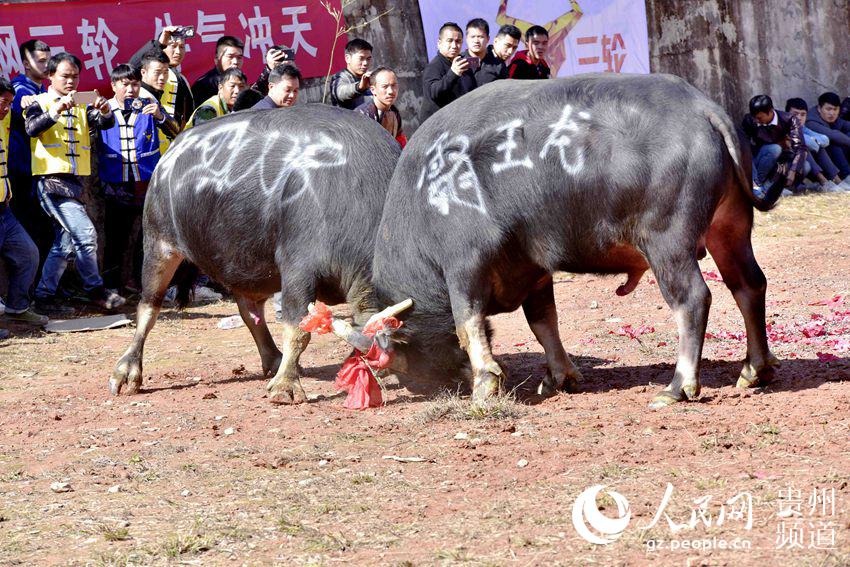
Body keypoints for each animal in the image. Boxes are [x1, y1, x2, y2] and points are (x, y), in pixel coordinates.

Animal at [110, 104, 400, 402]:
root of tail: (169, 156)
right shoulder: (297, 270)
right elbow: (298, 330)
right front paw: (286, 386)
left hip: (247, 265)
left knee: (250, 311)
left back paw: (273, 359)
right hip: (159, 245)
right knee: (148, 308)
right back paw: (127, 371)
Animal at [372, 74, 776, 408]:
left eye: (401, 355)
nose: (414, 386)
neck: (426, 190)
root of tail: (702, 108)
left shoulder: (463, 266)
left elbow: (467, 323)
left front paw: (485, 384)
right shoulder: (533, 269)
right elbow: (543, 322)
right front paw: (560, 377)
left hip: (667, 242)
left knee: (692, 298)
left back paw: (678, 387)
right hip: (730, 230)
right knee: (749, 285)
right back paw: (755, 369)